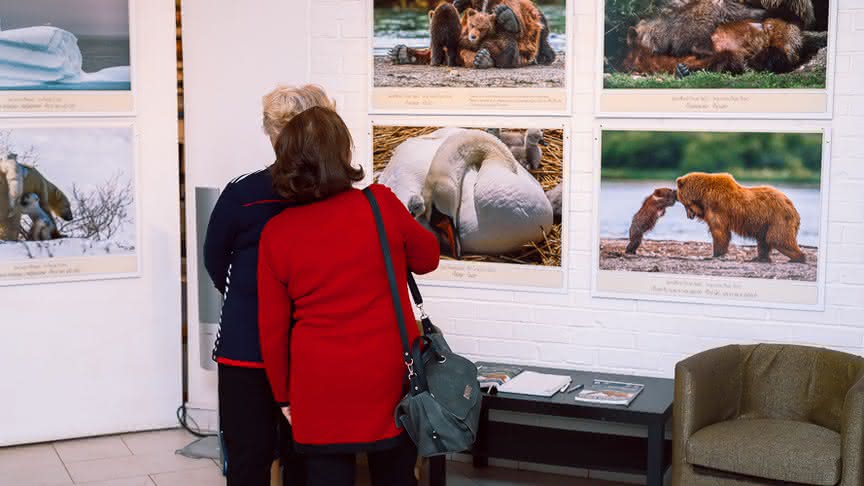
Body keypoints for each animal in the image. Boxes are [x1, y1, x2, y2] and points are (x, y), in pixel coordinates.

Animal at [672, 171, 808, 262]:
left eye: (683, 203)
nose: (689, 216)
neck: (703, 194)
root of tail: (792, 206)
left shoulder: (717, 206)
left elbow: (719, 231)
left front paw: (715, 254)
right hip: (766, 223)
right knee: (763, 240)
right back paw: (760, 258)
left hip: (778, 218)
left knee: (778, 238)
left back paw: (797, 257)